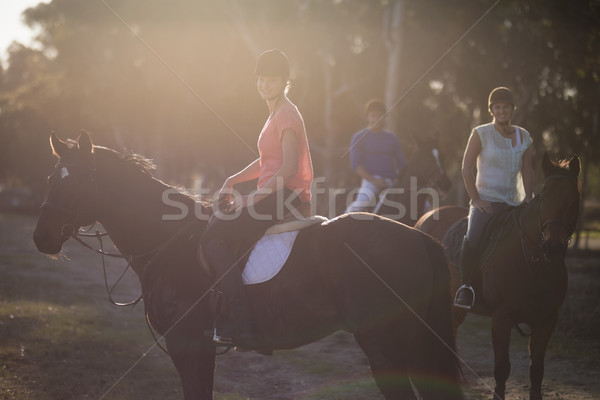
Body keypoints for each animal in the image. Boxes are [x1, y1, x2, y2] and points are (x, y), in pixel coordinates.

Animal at [34, 132, 464, 400]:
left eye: (75, 183)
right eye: (51, 177)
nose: (42, 237)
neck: (169, 242)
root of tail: (419, 237)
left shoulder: (190, 347)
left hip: (385, 343)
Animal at [414, 154, 580, 400]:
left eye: (573, 201)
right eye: (543, 199)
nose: (553, 248)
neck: (534, 262)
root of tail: (424, 218)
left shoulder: (547, 320)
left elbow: (537, 370)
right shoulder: (502, 318)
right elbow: (502, 369)